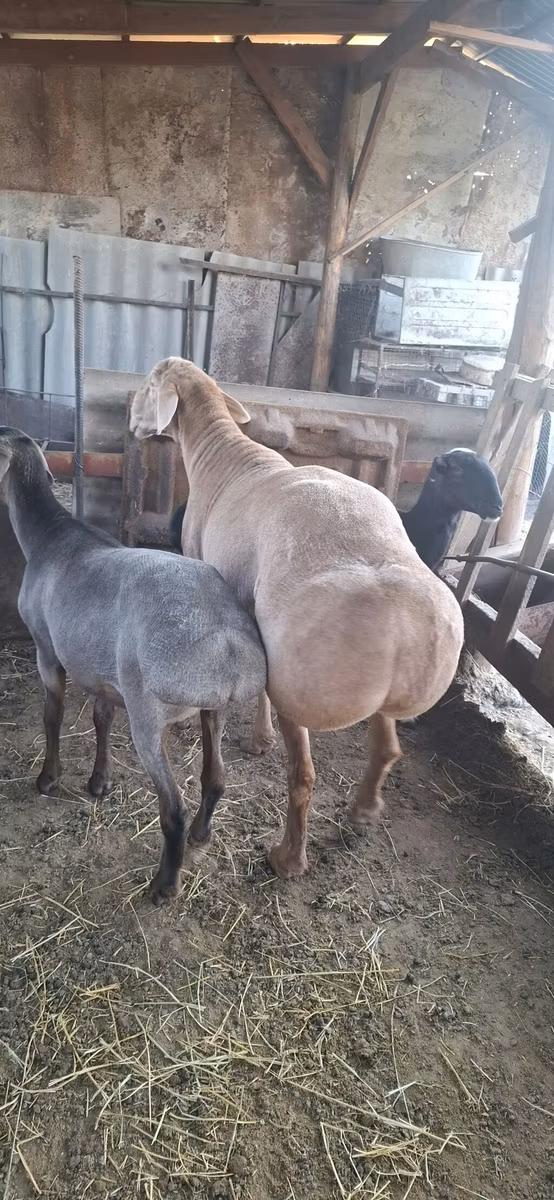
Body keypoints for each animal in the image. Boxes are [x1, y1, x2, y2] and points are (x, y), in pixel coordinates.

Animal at [0, 427, 267, 902]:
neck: (50, 535)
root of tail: (229, 647)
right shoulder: (106, 673)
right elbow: (102, 718)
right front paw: (99, 782)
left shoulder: (47, 647)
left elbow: (53, 716)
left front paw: (48, 779)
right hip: (212, 709)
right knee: (214, 777)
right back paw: (201, 835)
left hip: (148, 712)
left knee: (173, 808)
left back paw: (164, 884)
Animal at [129, 358, 464, 881]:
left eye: (148, 386)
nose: (130, 421)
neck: (223, 454)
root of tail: (399, 627)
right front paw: (260, 738)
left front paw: (257, 739)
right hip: (383, 693)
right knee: (387, 749)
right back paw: (363, 811)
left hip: (299, 682)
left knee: (303, 777)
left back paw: (288, 858)